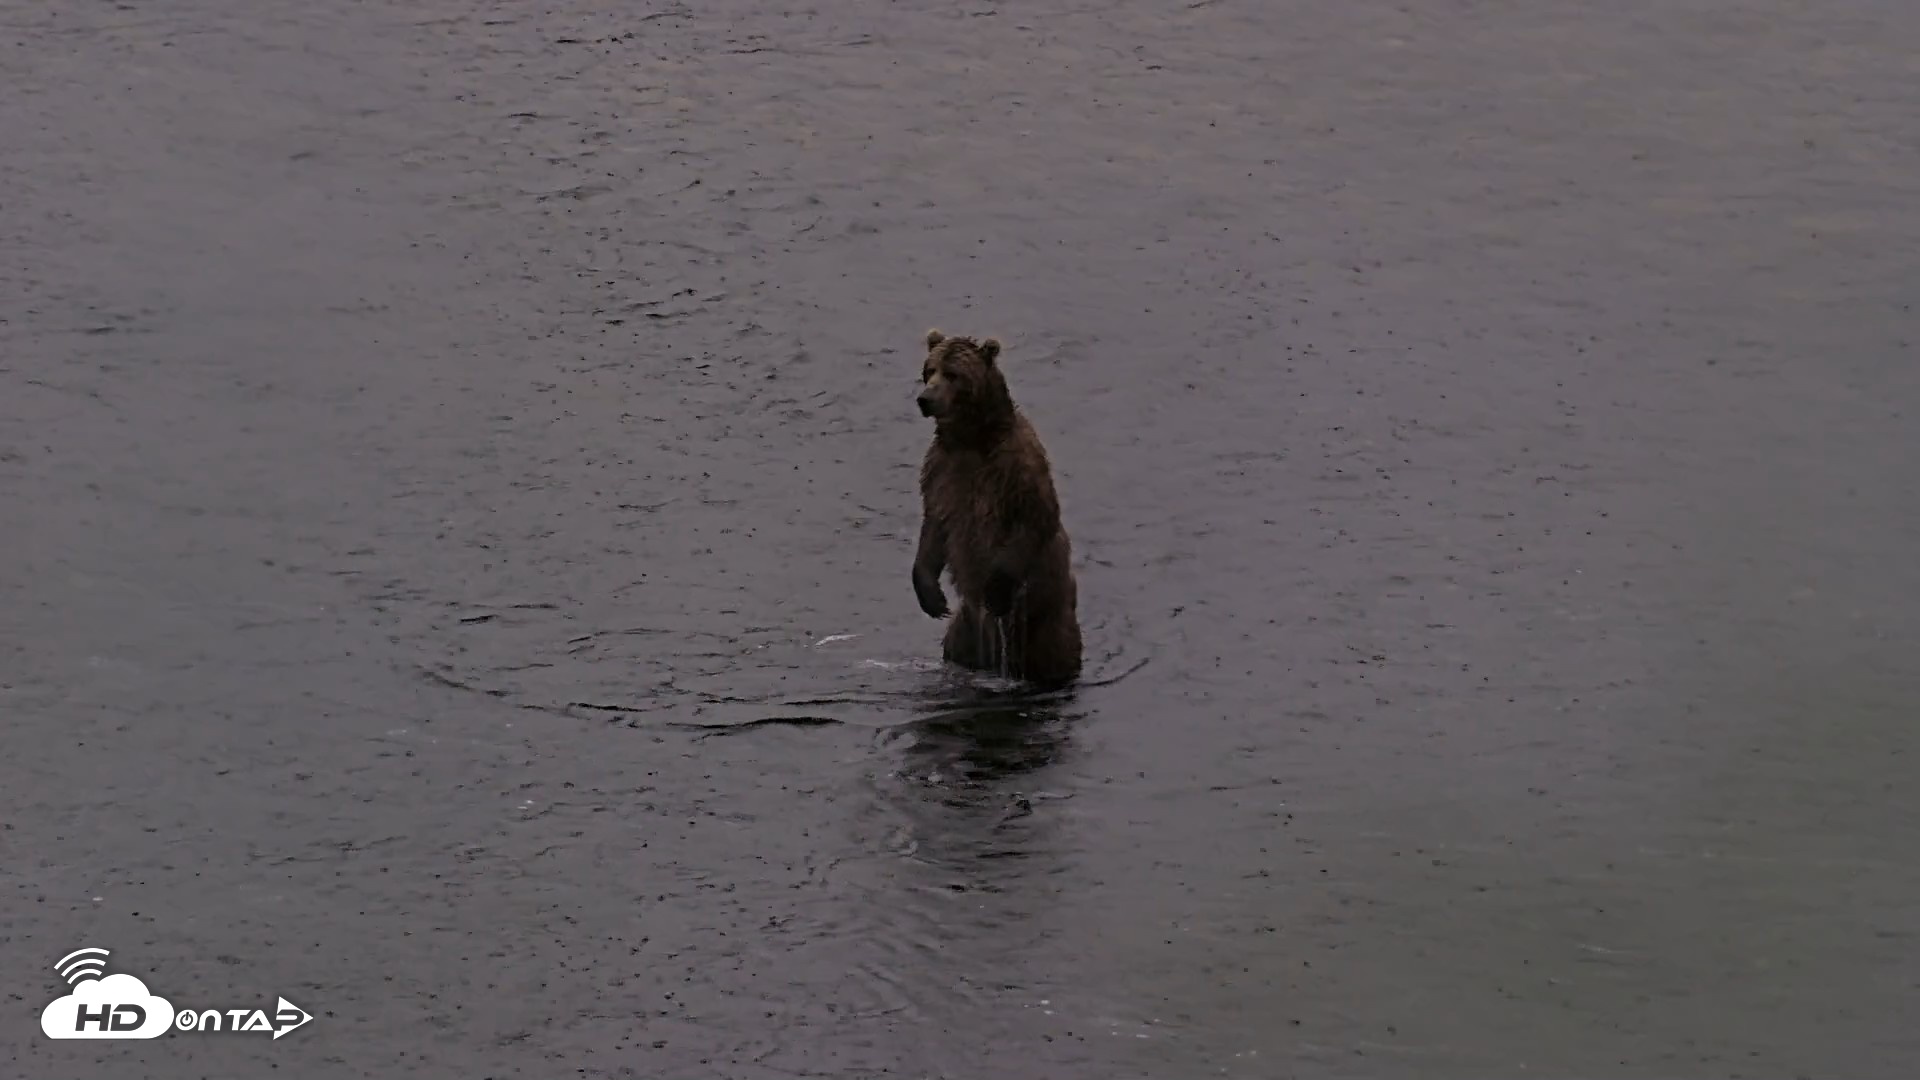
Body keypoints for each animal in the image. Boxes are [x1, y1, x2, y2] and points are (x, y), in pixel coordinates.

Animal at [911, 329, 1082, 687]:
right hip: (965, 631)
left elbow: (1034, 519)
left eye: (952, 374)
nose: (925, 398)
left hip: (1047, 624)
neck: (972, 440)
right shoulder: (940, 472)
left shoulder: (1016, 469)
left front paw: (997, 589)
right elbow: (934, 524)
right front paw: (932, 596)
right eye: (928, 370)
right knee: (955, 646)